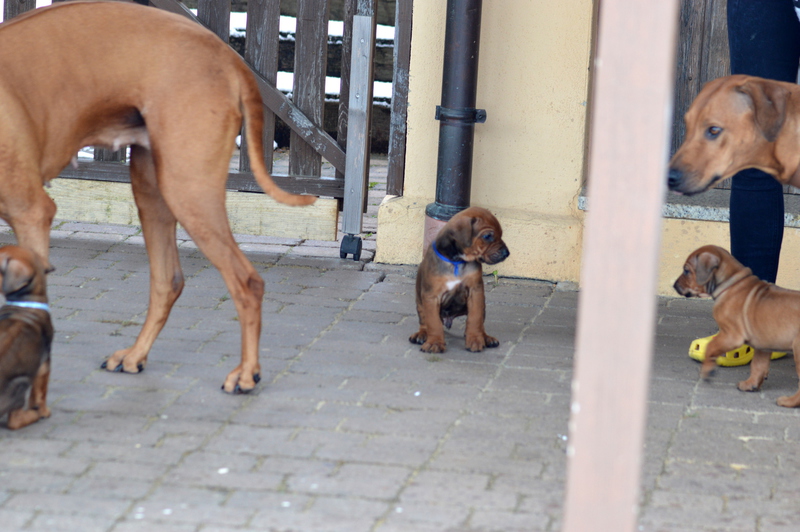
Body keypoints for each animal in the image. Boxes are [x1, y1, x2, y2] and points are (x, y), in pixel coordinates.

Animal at [0, 2, 316, 393]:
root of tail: (228, 54)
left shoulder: (30, 211)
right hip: (151, 189)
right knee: (169, 281)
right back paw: (136, 355)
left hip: (187, 188)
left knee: (247, 282)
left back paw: (246, 373)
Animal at [0, 246, 54, 429]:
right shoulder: (44, 364)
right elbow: (41, 391)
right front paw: (43, 411)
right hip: (21, 383)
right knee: (14, 421)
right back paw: (33, 414)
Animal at [409, 207, 509, 353]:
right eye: (487, 236)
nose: (507, 253)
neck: (457, 261)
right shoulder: (431, 297)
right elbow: (433, 322)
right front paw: (435, 343)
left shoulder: (475, 292)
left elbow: (474, 319)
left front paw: (475, 340)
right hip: (420, 303)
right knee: (424, 322)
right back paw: (421, 335)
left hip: (483, 305)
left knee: (480, 322)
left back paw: (486, 338)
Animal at [674, 245, 800, 407]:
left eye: (686, 271)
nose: (674, 285)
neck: (730, 284)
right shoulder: (763, 345)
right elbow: (758, 365)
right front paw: (750, 384)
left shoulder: (731, 335)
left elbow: (711, 347)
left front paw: (707, 370)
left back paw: (788, 401)